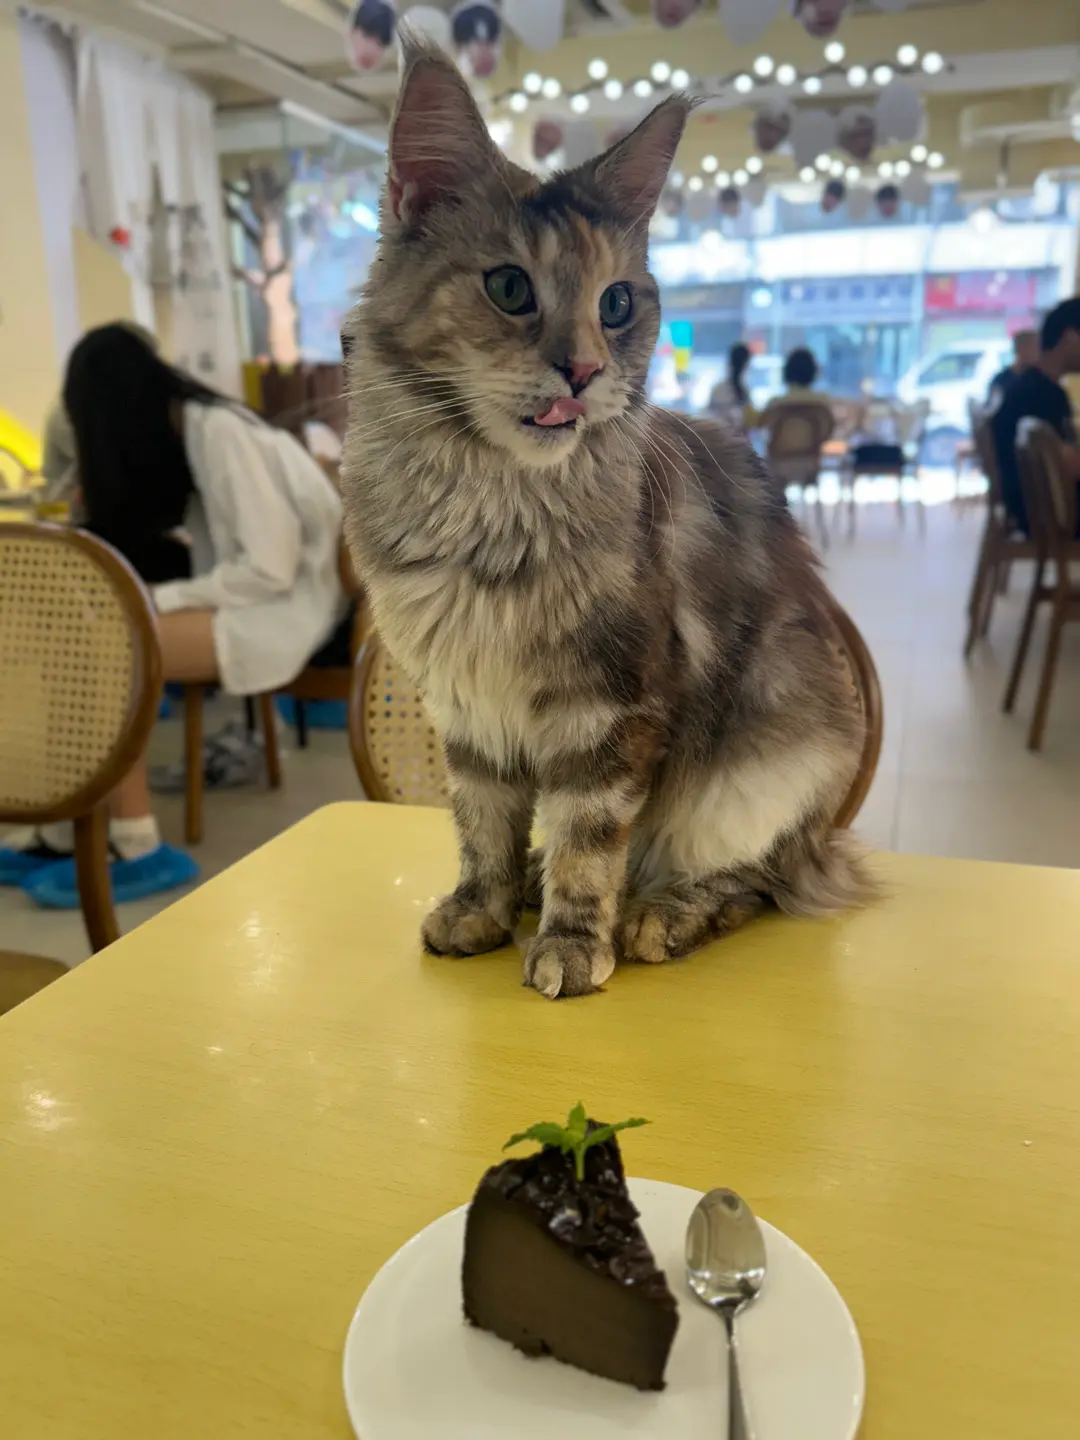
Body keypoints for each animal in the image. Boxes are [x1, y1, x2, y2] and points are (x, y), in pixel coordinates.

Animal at [340, 41, 874, 999]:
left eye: (618, 304)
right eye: (509, 287)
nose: (585, 371)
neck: (485, 501)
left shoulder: (608, 704)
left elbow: (590, 840)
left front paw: (572, 944)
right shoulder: (466, 705)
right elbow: (482, 822)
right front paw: (482, 908)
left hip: (762, 772)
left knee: (757, 880)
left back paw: (657, 916)